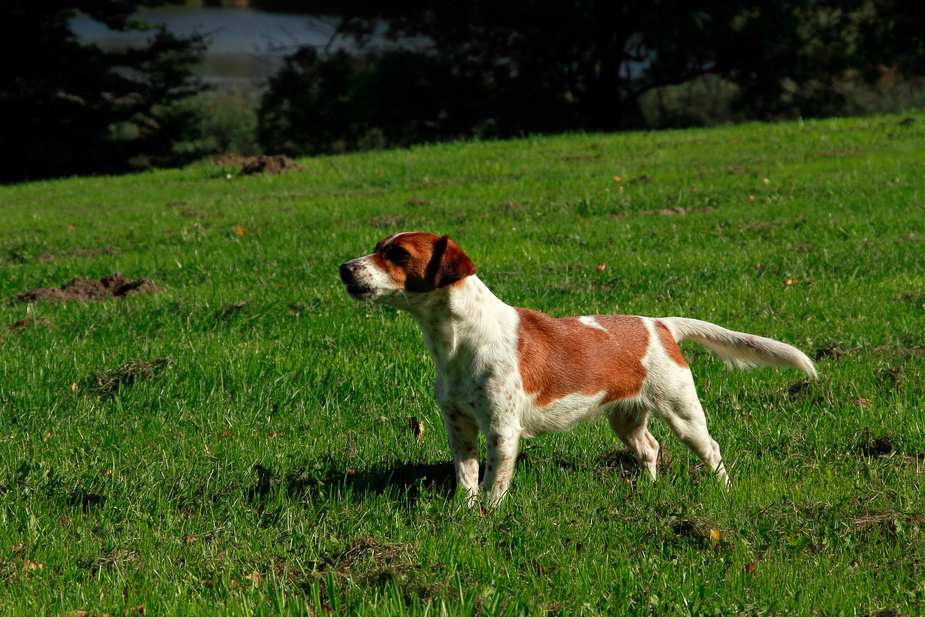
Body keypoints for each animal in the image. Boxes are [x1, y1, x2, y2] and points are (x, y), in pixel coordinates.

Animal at [340, 233, 816, 502]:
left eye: (397, 254)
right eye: (377, 249)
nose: (343, 267)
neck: (458, 341)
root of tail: (661, 324)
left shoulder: (502, 429)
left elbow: (495, 485)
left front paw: (489, 521)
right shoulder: (458, 426)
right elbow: (468, 479)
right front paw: (465, 514)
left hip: (683, 413)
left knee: (712, 450)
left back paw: (725, 493)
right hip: (626, 418)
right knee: (650, 449)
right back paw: (649, 491)